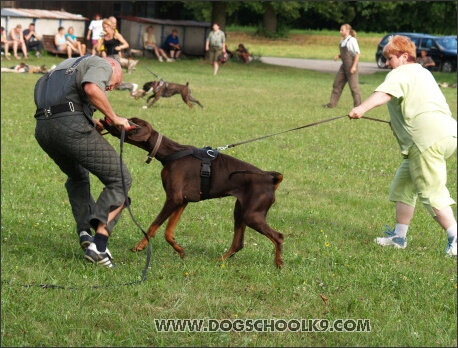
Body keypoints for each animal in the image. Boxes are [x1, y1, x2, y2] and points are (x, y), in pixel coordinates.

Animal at [102, 118, 284, 268]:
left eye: (129, 120)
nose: (105, 117)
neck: (170, 153)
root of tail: (271, 179)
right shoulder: (182, 201)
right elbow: (168, 232)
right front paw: (180, 251)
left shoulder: (173, 199)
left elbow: (154, 226)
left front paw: (140, 246)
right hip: (240, 211)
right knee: (238, 243)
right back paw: (219, 261)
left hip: (251, 214)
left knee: (279, 237)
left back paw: (279, 264)